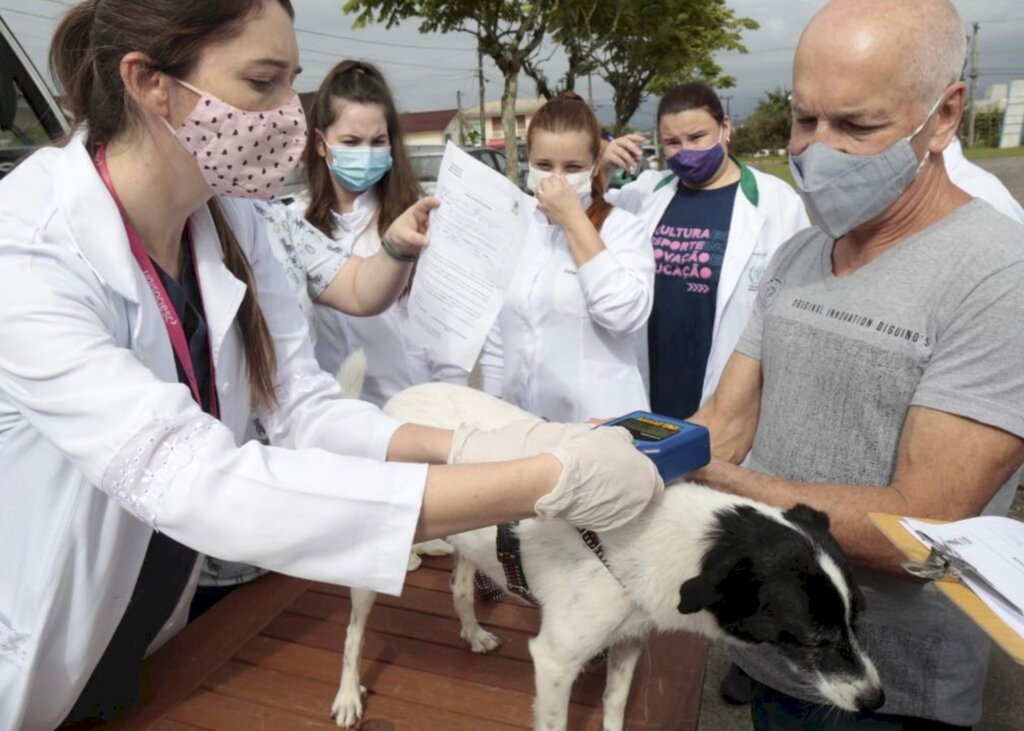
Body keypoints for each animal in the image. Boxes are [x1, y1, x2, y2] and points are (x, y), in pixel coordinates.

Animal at [329, 380, 880, 728]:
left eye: (858, 620)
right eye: (812, 639)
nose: (876, 700)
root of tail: (396, 401)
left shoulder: (630, 639)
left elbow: (615, 708)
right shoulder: (554, 661)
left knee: (461, 586)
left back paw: (472, 630)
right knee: (353, 634)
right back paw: (347, 696)